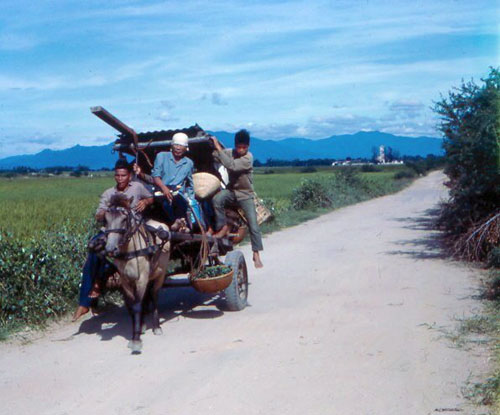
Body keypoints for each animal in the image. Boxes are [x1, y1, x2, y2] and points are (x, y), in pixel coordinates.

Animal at [103, 195, 170, 354]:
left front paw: (136, 340)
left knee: (154, 295)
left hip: (160, 274)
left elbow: (137, 306)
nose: (110, 248)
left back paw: (156, 326)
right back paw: (144, 324)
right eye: (106, 219)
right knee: (146, 297)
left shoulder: (141, 279)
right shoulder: (126, 281)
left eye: (123, 219)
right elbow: (132, 306)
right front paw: (137, 330)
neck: (130, 251)